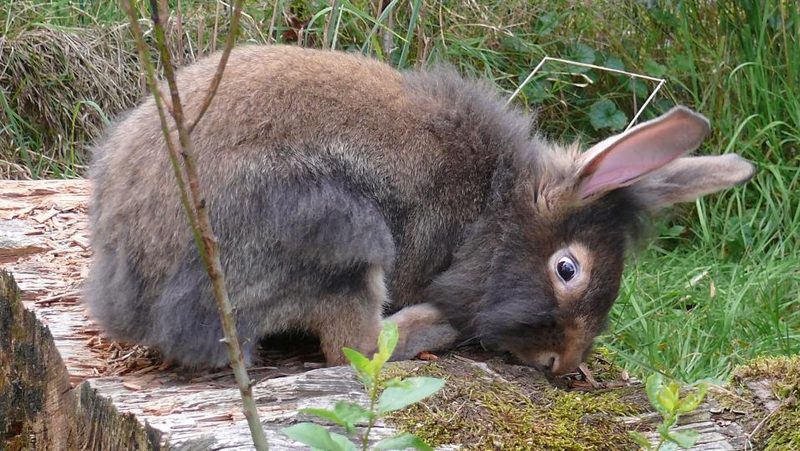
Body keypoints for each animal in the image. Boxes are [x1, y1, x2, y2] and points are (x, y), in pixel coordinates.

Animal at [86, 44, 754, 374]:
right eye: (568, 269)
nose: (562, 365)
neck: (492, 207)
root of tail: (136, 302)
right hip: (343, 233)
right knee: (353, 349)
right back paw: (437, 324)